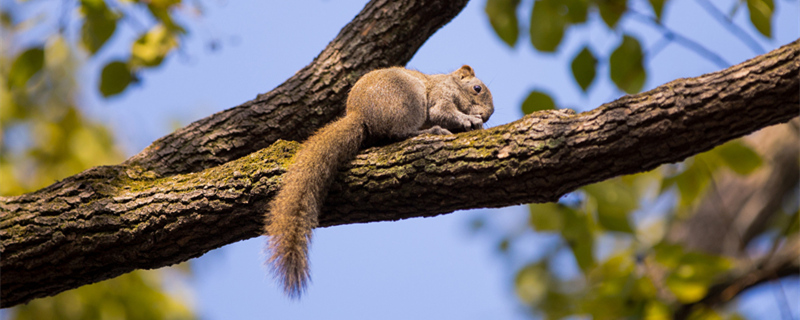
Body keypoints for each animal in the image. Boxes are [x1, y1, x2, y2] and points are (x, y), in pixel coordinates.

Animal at [266, 65, 494, 298]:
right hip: (409, 99)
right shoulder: (441, 94)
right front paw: (469, 120)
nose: (486, 115)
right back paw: (432, 130)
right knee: (400, 133)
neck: (451, 83)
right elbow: (442, 112)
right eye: (477, 89)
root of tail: (360, 114)